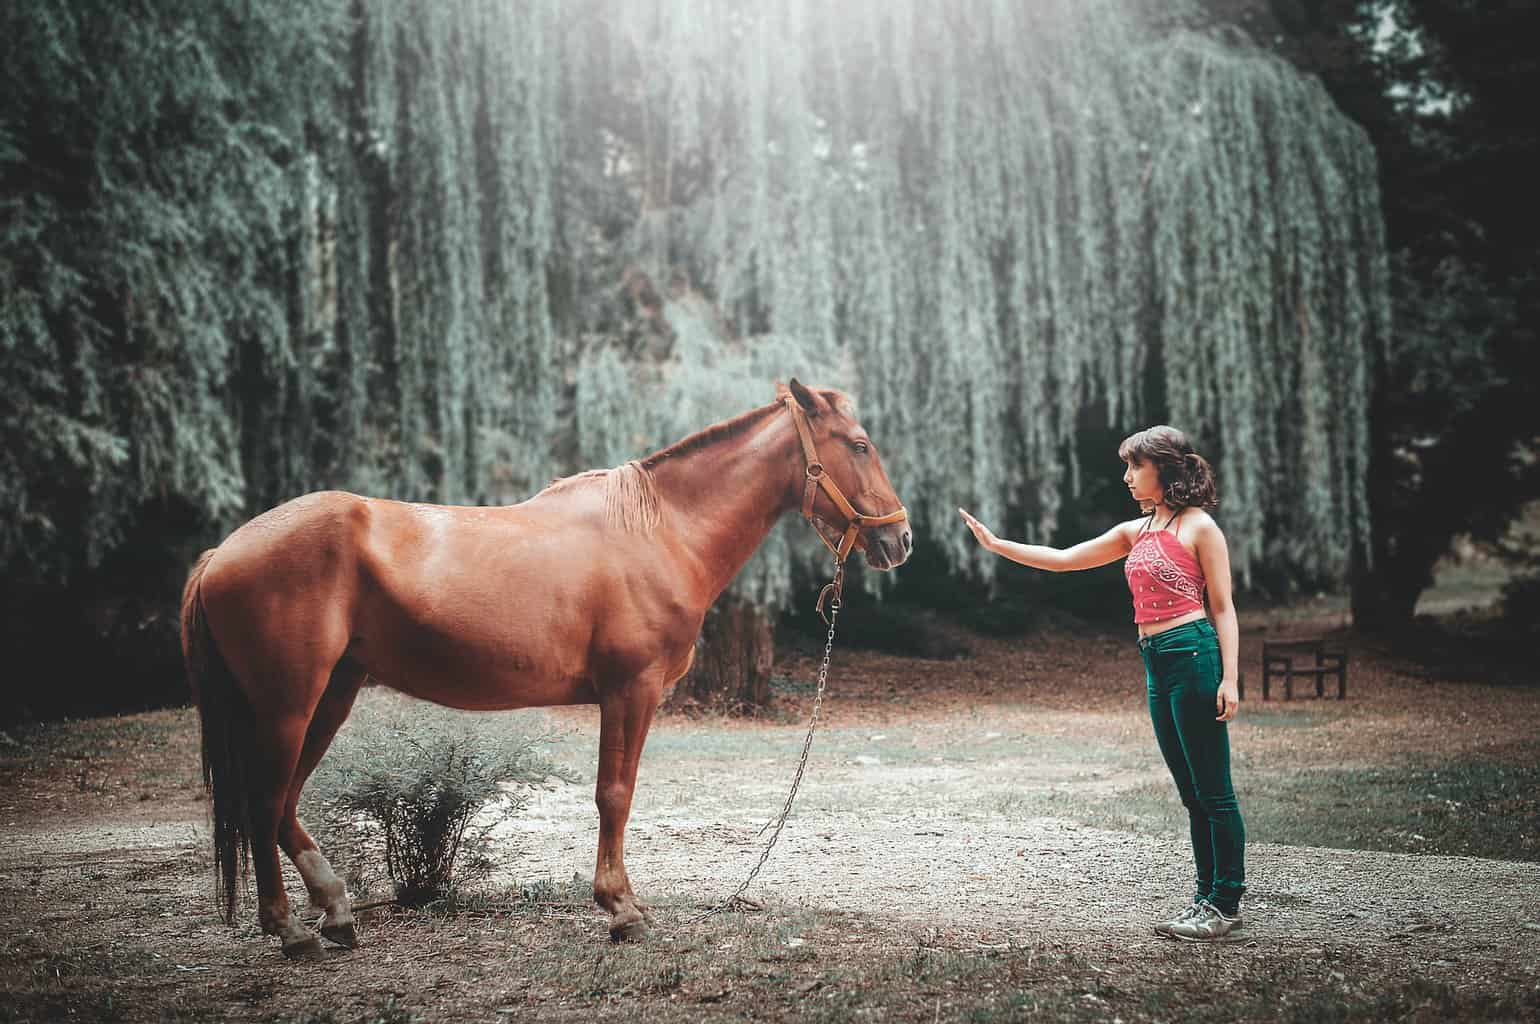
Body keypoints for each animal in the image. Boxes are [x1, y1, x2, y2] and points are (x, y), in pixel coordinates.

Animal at [180, 377, 905, 960]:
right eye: (860, 444)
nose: (899, 540)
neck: (659, 530)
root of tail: (222, 553)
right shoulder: (630, 690)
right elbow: (615, 794)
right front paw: (622, 910)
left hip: (331, 695)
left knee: (282, 803)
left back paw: (335, 912)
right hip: (288, 705)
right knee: (265, 800)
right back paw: (291, 930)